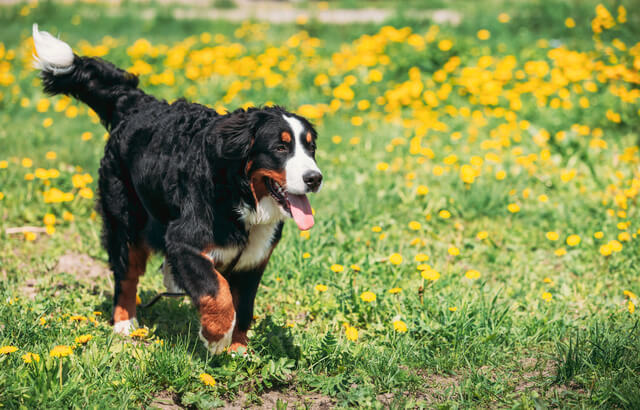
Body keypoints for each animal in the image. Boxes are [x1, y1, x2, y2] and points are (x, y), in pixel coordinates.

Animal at [31, 24, 322, 352]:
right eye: (280, 148)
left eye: (310, 148)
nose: (315, 178)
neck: (241, 197)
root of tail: (137, 104)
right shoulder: (184, 240)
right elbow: (217, 290)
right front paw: (216, 336)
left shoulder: (254, 258)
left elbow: (244, 307)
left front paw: (238, 350)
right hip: (125, 219)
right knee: (125, 274)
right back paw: (124, 324)